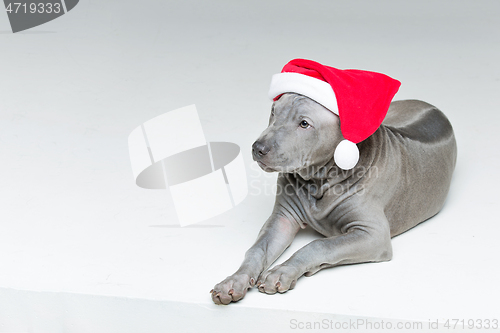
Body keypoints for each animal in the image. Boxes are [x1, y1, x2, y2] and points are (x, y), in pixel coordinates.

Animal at [210, 63, 458, 306]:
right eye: (273, 112)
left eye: (304, 124)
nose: (258, 148)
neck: (319, 180)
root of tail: (427, 104)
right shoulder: (282, 218)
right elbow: (257, 249)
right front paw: (233, 281)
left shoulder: (372, 235)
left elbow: (319, 245)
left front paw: (283, 271)